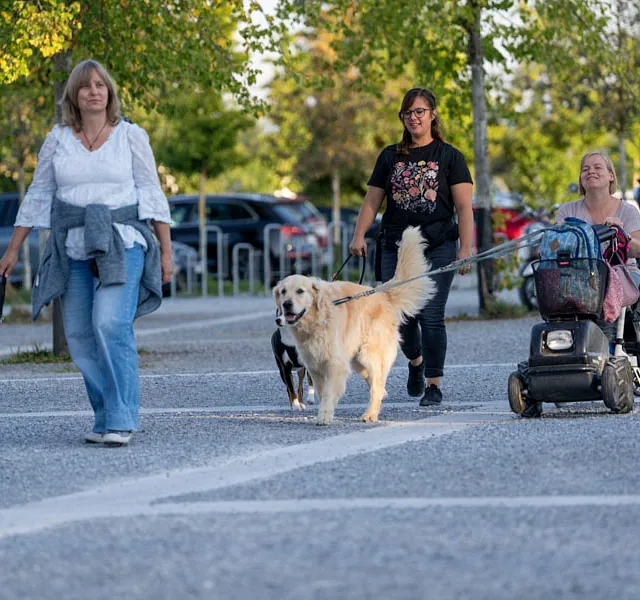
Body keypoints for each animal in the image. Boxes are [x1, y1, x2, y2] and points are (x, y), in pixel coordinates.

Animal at [272, 226, 432, 426]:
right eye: (283, 291)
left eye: (300, 291)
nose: (286, 304)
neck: (317, 320)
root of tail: (382, 294)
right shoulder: (314, 367)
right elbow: (320, 392)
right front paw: (325, 411)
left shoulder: (335, 364)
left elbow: (328, 393)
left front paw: (324, 415)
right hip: (358, 361)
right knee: (377, 383)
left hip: (368, 355)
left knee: (376, 385)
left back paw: (370, 414)